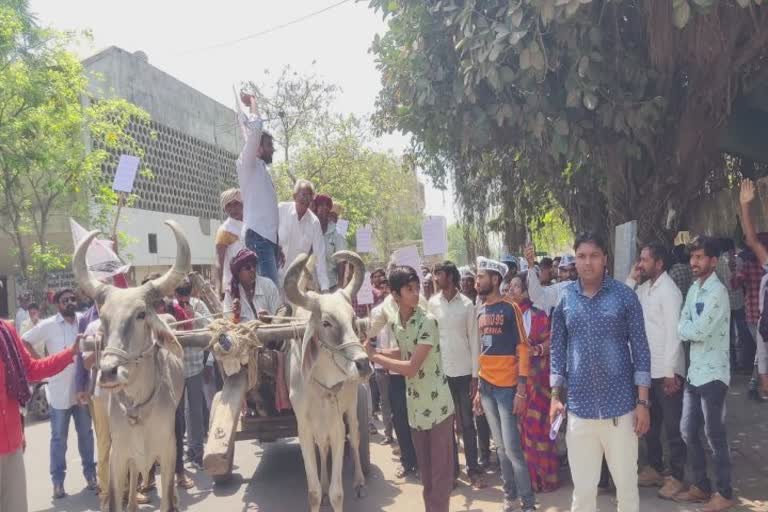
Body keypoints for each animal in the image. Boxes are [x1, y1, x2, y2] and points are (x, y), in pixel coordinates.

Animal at [73, 221, 190, 512]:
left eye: (140, 314)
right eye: (103, 317)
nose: (108, 372)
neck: (139, 408)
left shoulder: (167, 451)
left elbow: (166, 497)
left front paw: (169, 499)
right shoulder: (119, 454)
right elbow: (117, 495)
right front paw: (128, 500)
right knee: (137, 472)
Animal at [284, 251, 376, 512]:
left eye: (354, 318)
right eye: (325, 322)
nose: (363, 364)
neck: (319, 386)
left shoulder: (336, 426)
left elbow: (337, 493)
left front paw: (336, 491)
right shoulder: (304, 430)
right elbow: (314, 491)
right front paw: (321, 490)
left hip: (352, 407)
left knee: (355, 438)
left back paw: (359, 481)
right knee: (322, 449)